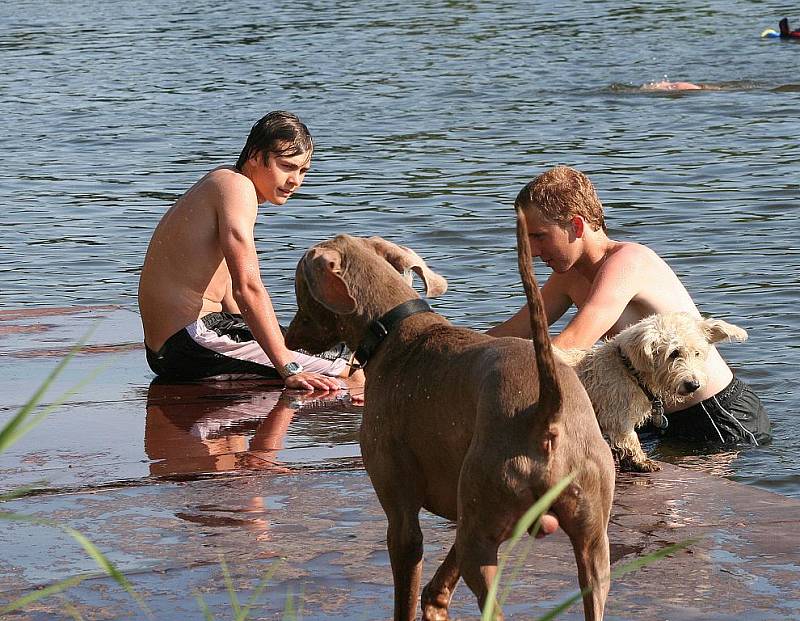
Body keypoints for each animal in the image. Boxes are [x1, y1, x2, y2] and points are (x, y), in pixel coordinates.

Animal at [284, 218, 616, 620]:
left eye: (299, 286)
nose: (287, 334)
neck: (393, 330)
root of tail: (545, 413)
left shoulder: (403, 519)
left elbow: (406, 593)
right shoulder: (469, 515)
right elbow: (438, 587)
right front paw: (435, 604)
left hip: (483, 534)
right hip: (591, 544)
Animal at [564, 312, 748, 472]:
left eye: (697, 353)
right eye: (674, 353)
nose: (693, 384)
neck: (629, 371)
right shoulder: (618, 417)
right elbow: (630, 439)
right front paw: (642, 461)